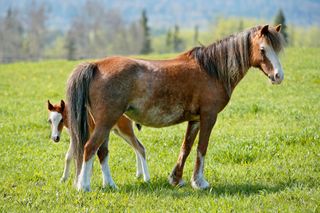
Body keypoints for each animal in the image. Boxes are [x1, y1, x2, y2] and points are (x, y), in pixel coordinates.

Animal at [66, 24, 284, 191]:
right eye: (263, 49)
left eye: (278, 49)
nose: (278, 76)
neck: (211, 70)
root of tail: (96, 66)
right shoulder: (209, 116)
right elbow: (201, 148)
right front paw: (200, 182)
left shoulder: (195, 120)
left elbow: (186, 148)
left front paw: (176, 179)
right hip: (107, 122)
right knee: (90, 148)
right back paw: (84, 186)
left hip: (105, 124)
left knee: (101, 152)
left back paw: (110, 185)